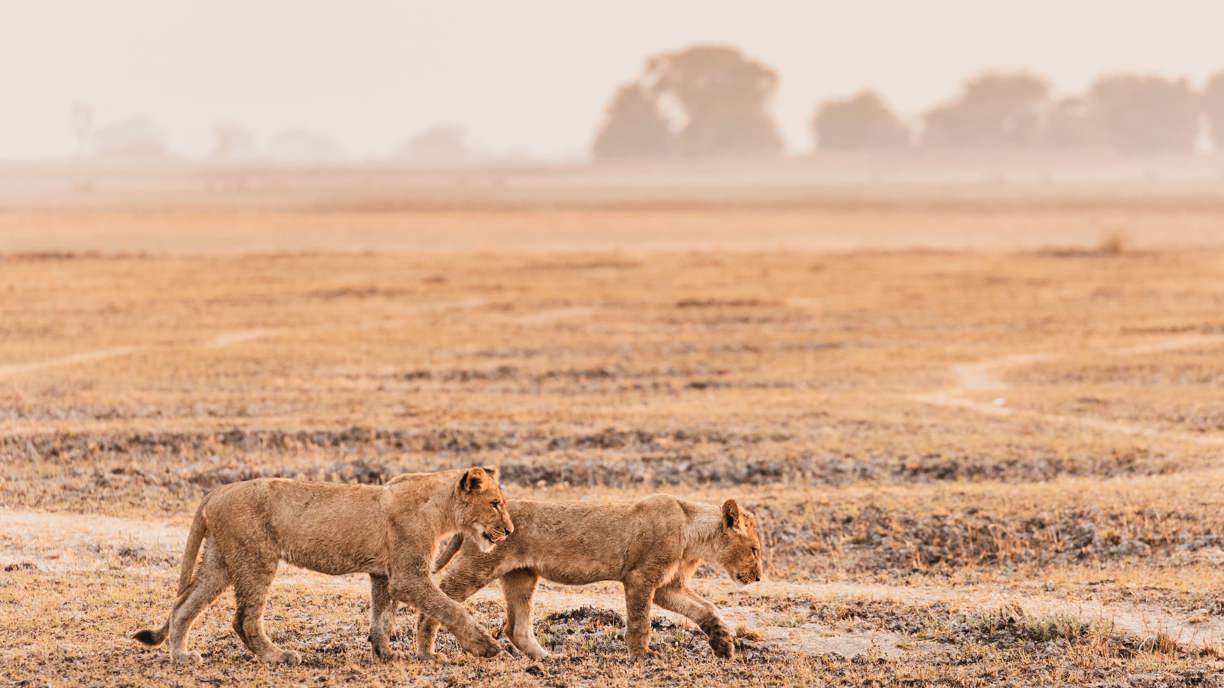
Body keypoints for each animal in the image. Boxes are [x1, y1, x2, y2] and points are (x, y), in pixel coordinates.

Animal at [132, 466, 513, 665]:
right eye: (495, 504)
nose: (509, 530)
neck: (442, 509)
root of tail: (216, 491)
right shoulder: (408, 576)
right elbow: (451, 608)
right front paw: (485, 647)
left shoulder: (383, 574)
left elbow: (382, 617)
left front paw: (385, 653)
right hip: (256, 558)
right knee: (243, 619)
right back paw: (278, 656)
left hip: (220, 561)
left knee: (184, 606)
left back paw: (182, 656)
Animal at [414, 495, 763, 660]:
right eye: (755, 550)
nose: (759, 578)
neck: (694, 536)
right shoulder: (641, 577)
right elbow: (640, 621)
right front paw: (642, 656)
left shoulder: (667, 586)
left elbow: (706, 609)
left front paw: (724, 644)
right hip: (480, 566)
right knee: (440, 599)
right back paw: (427, 651)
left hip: (521, 576)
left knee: (517, 628)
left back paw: (549, 659)